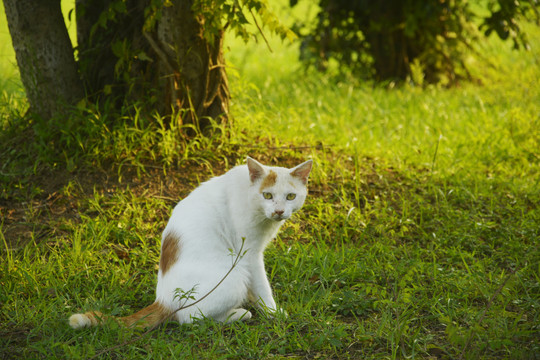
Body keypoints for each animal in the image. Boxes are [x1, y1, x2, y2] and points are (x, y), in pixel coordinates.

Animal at [68, 156, 312, 328]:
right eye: (267, 195)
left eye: (290, 197)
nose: (279, 211)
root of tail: (163, 299)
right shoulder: (250, 254)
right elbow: (262, 284)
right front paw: (272, 312)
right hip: (234, 276)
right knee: (188, 318)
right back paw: (239, 314)